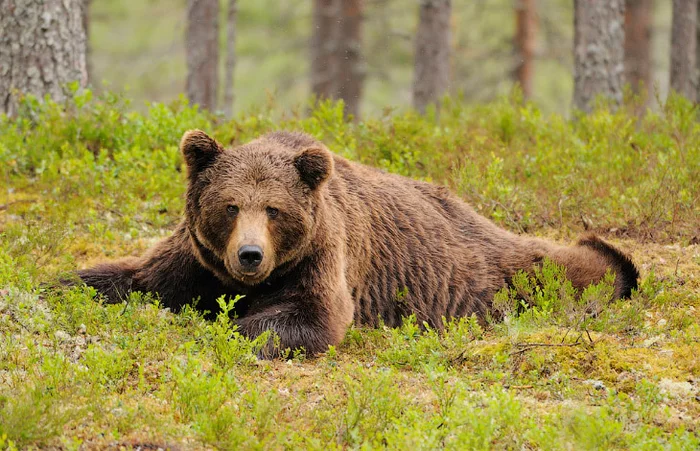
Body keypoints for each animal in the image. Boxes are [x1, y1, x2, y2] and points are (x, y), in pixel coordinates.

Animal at [78, 130, 640, 356]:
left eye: (274, 210)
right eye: (230, 206)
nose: (250, 255)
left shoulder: (323, 257)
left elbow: (312, 315)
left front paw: (224, 327)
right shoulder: (195, 260)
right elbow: (130, 277)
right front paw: (73, 284)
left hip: (482, 270)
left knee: (553, 266)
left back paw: (616, 265)